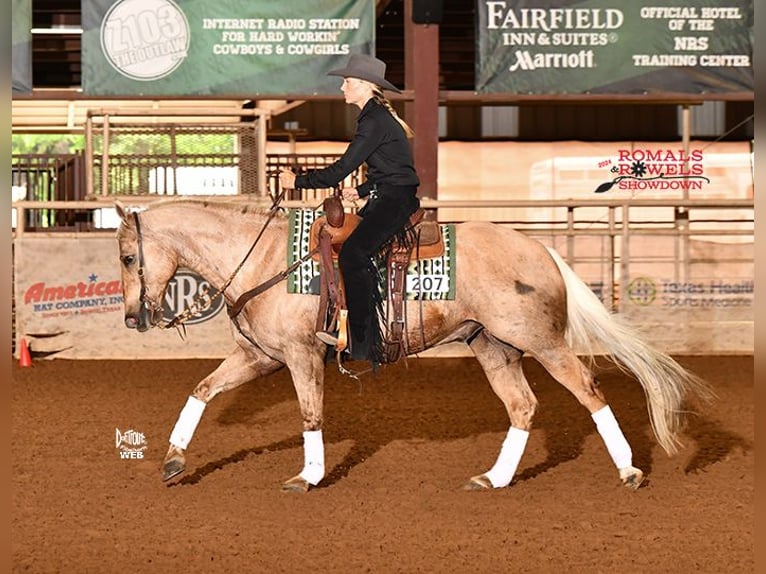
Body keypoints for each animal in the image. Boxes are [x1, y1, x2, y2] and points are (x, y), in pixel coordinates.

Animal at [112, 200, 708, 492]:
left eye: (126, 256)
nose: (132, 318)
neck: (263, 260)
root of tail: (540, 249)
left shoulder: (303, 356)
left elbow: (310, 415)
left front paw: (308, 476)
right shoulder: (260, 356)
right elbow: (202, 389)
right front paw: (173, 462)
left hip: (540, 340)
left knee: (588, 390)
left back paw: (629, 472)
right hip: (493, 346)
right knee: (523, 406)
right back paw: (494, 478)